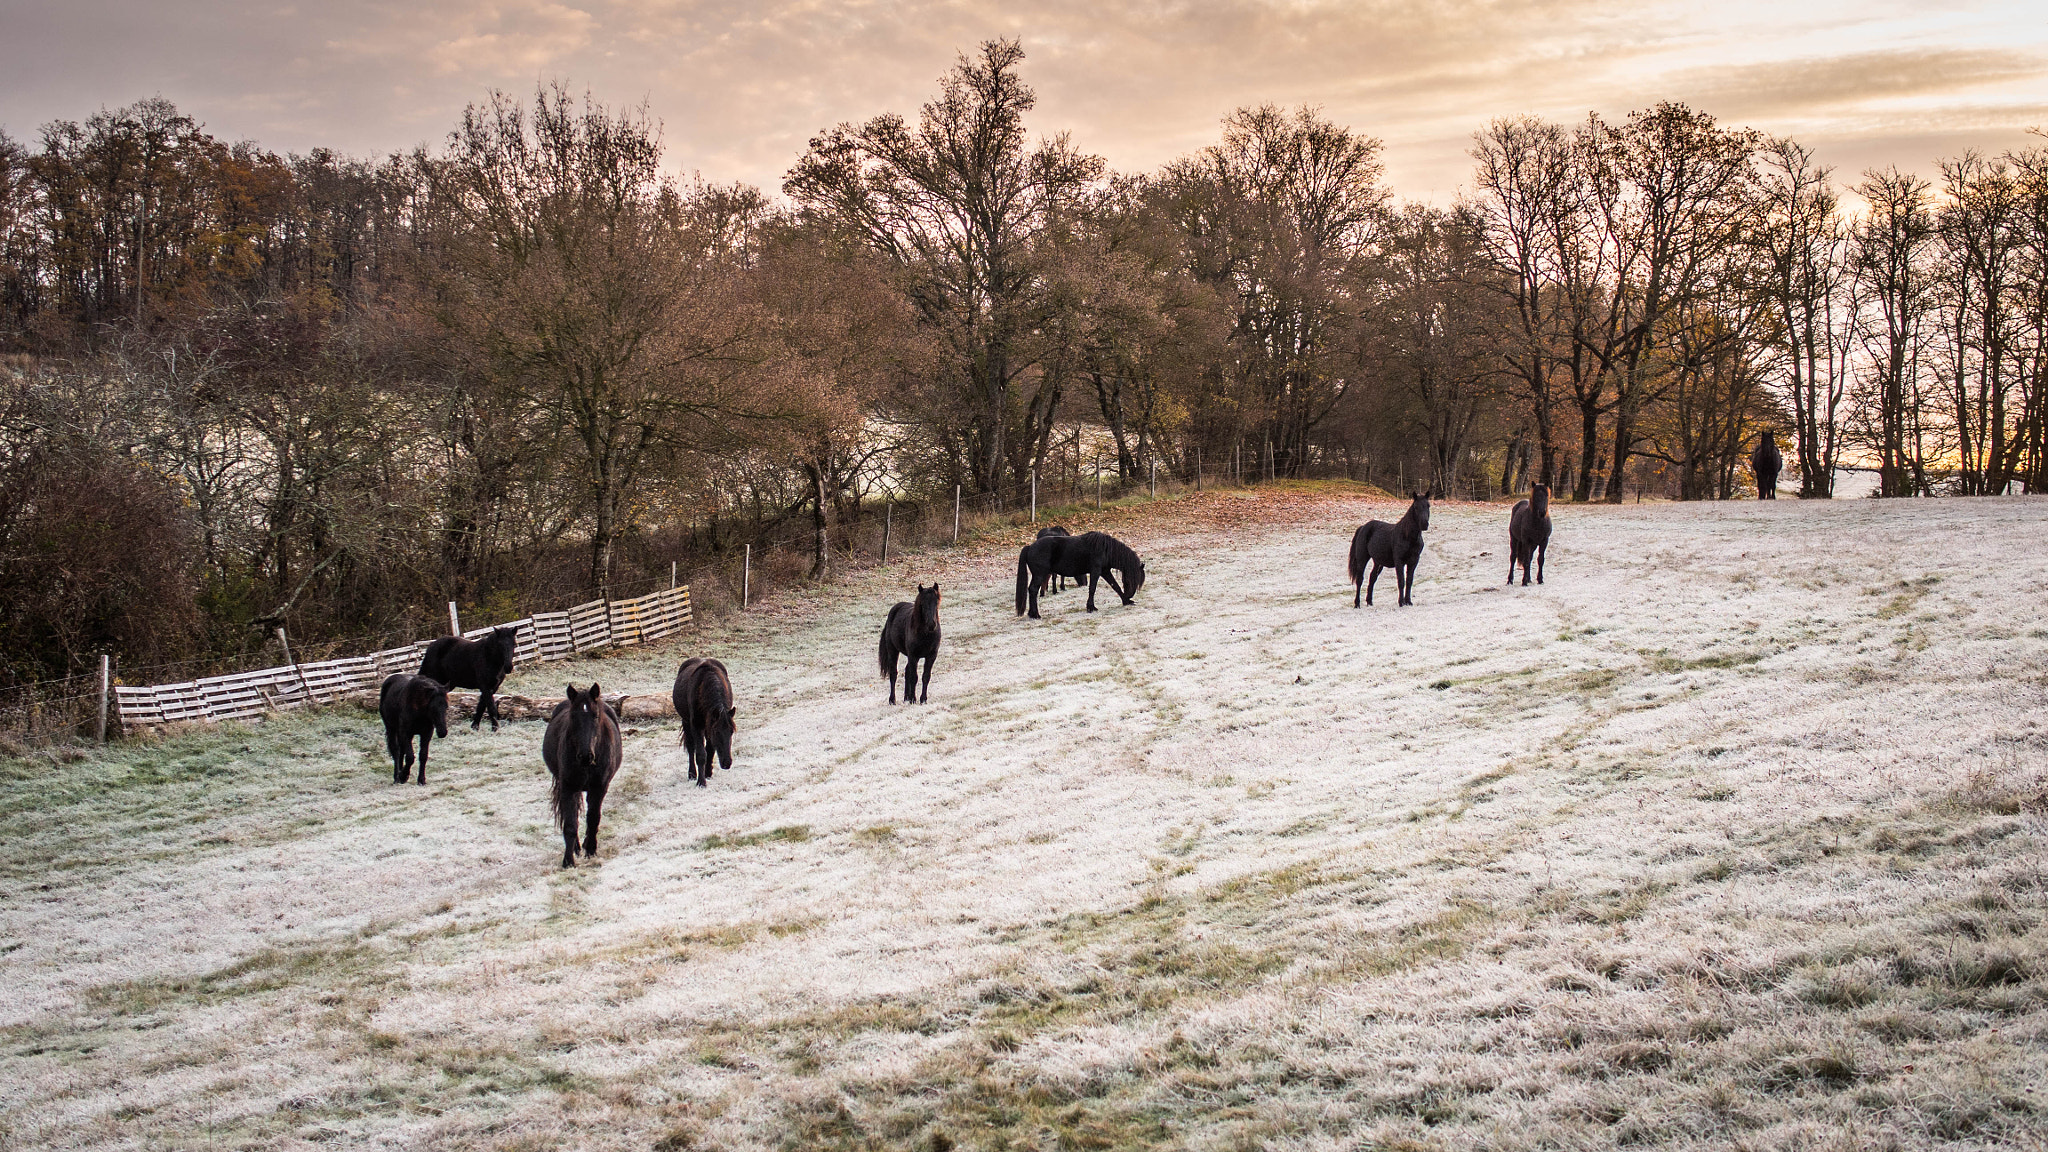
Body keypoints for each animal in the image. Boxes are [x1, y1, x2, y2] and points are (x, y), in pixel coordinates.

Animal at [540, 680, 618, 860]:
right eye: (573, 716)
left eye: (595, 716)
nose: (585, 756)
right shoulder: (568, 787)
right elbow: (570, 823)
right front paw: (568, 860)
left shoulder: (599, 788)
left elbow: (593, 819)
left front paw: (591, 849)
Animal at [1015, 532, 1146, 619]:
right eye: (1133, 579)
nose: (1130, 594)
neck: (1104, 549)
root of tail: (1030, 547)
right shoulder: (1096, 571)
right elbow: (1092, 589)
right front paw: (1091, 607)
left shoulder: (1105, 571)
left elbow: (1115, 586)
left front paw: (1126, 601)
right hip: (1039, 575)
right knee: (1033, 590)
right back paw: (1036, 614)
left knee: (1032, 590)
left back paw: (1032, 614)